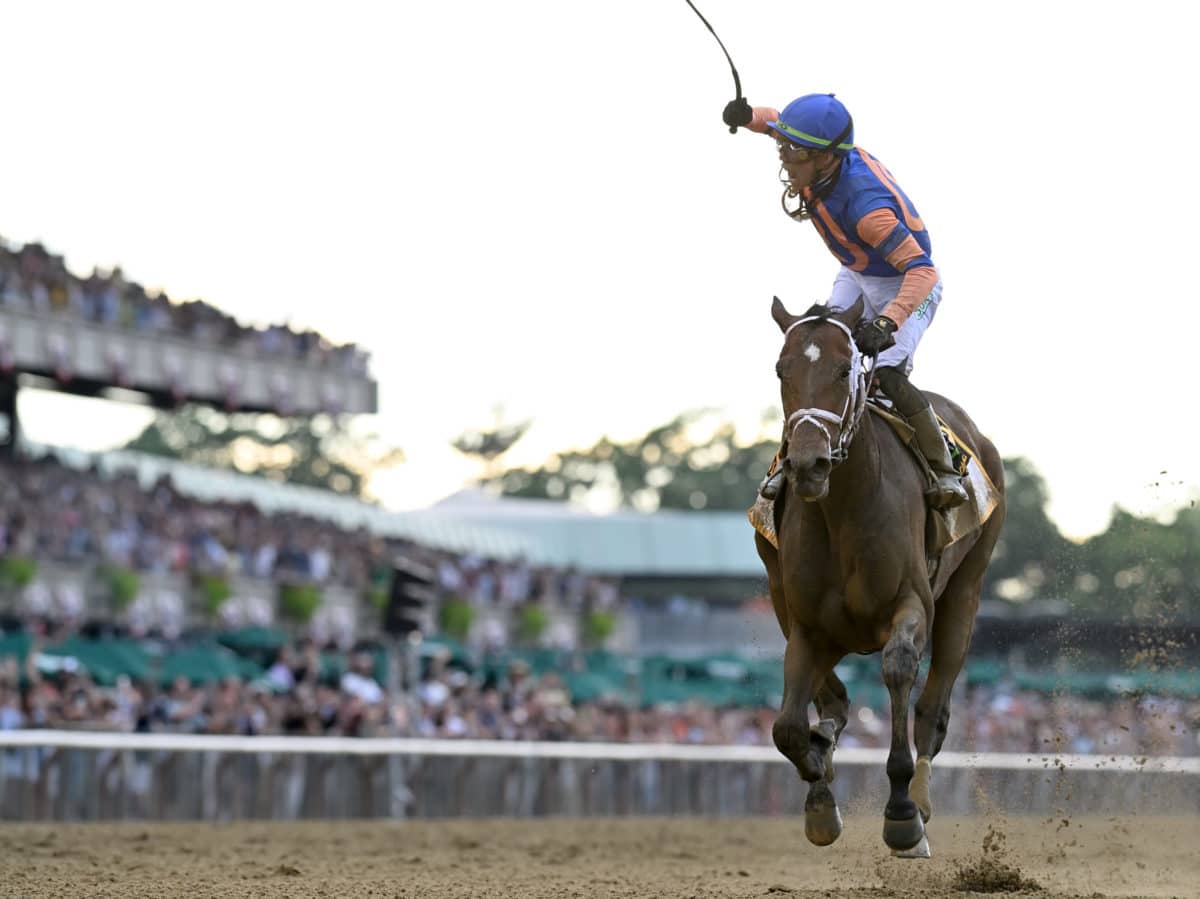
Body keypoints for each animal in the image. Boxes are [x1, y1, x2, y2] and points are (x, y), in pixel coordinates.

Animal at [758, 296, 1003, 854]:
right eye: (782, 369)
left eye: (843, 368)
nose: (808, 464)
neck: (845, 509)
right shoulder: (807, 624)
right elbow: (788, 728)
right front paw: (820, 795)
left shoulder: (911, 603)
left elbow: (897, 670)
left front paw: (901, 814)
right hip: (783, 597)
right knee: (832, 700)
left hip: (966, 592)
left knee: (933, 709)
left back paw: (922, 803)